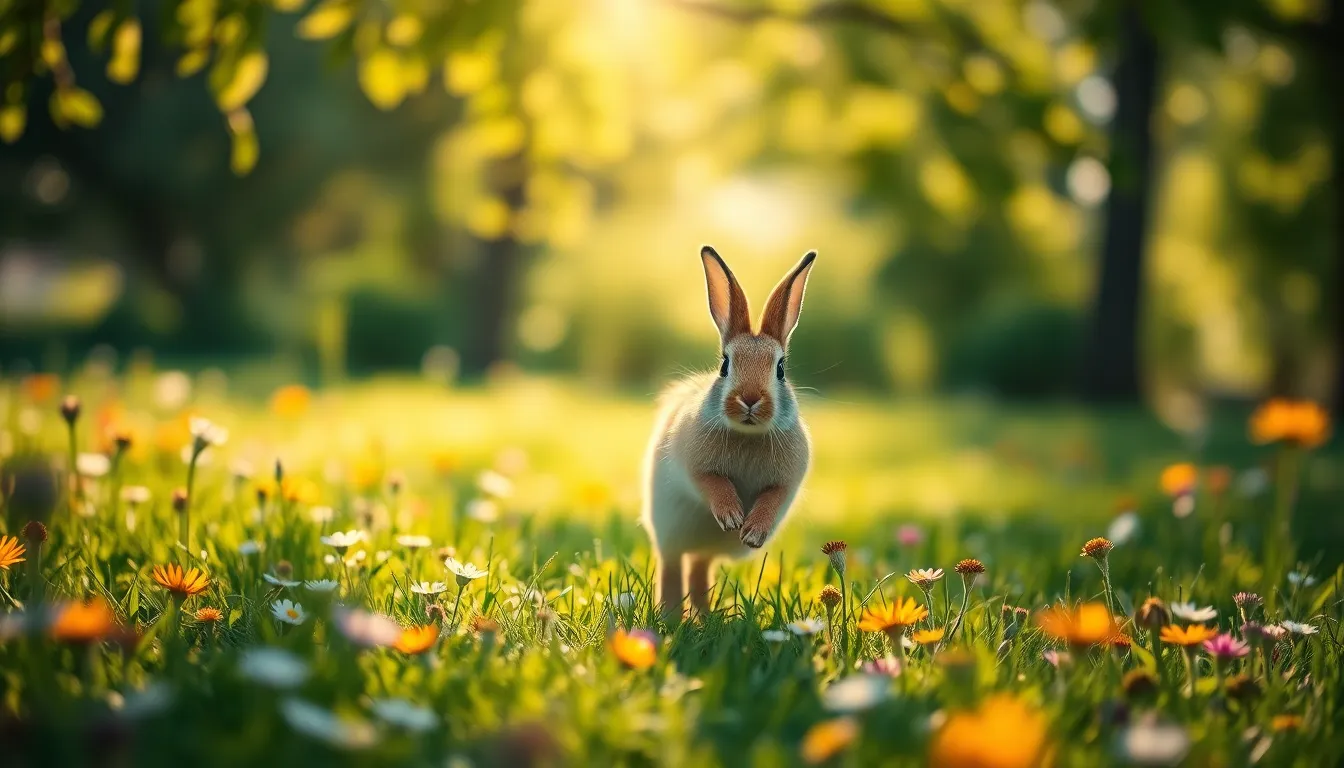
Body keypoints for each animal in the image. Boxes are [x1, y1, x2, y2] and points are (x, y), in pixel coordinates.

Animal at [642, 246, 816, 622]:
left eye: (780, 369)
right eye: (725, 365)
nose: (749, 399)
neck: (746, 435)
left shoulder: (785, 482)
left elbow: (771, 499)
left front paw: (752, 533)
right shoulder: (694, 468)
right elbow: (713, 483)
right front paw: (732, 516)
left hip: (703, 552)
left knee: (699, 569)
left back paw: (705, 618)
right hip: (670, 535)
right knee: (673, 567)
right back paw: (671, 618)